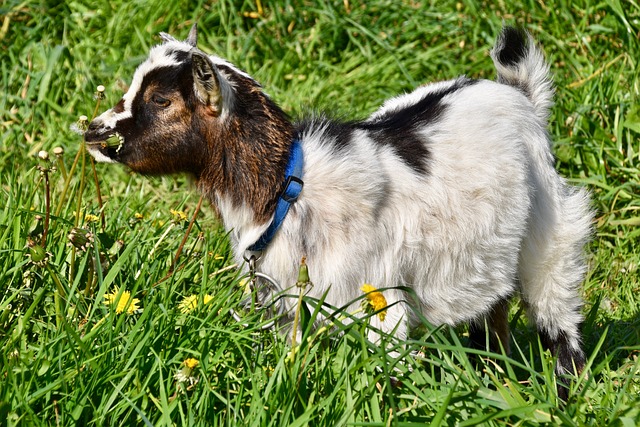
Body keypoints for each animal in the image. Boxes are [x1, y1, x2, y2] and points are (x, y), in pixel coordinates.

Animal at [84, 23, 592, 398]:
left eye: (161, 100)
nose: (93, 129)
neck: (287, 191)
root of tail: (519, 94)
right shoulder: (284, 303)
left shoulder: (378, 301)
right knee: (493, 311)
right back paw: (495, 377)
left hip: (551, 229)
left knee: (556, 307)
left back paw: (562, 393)